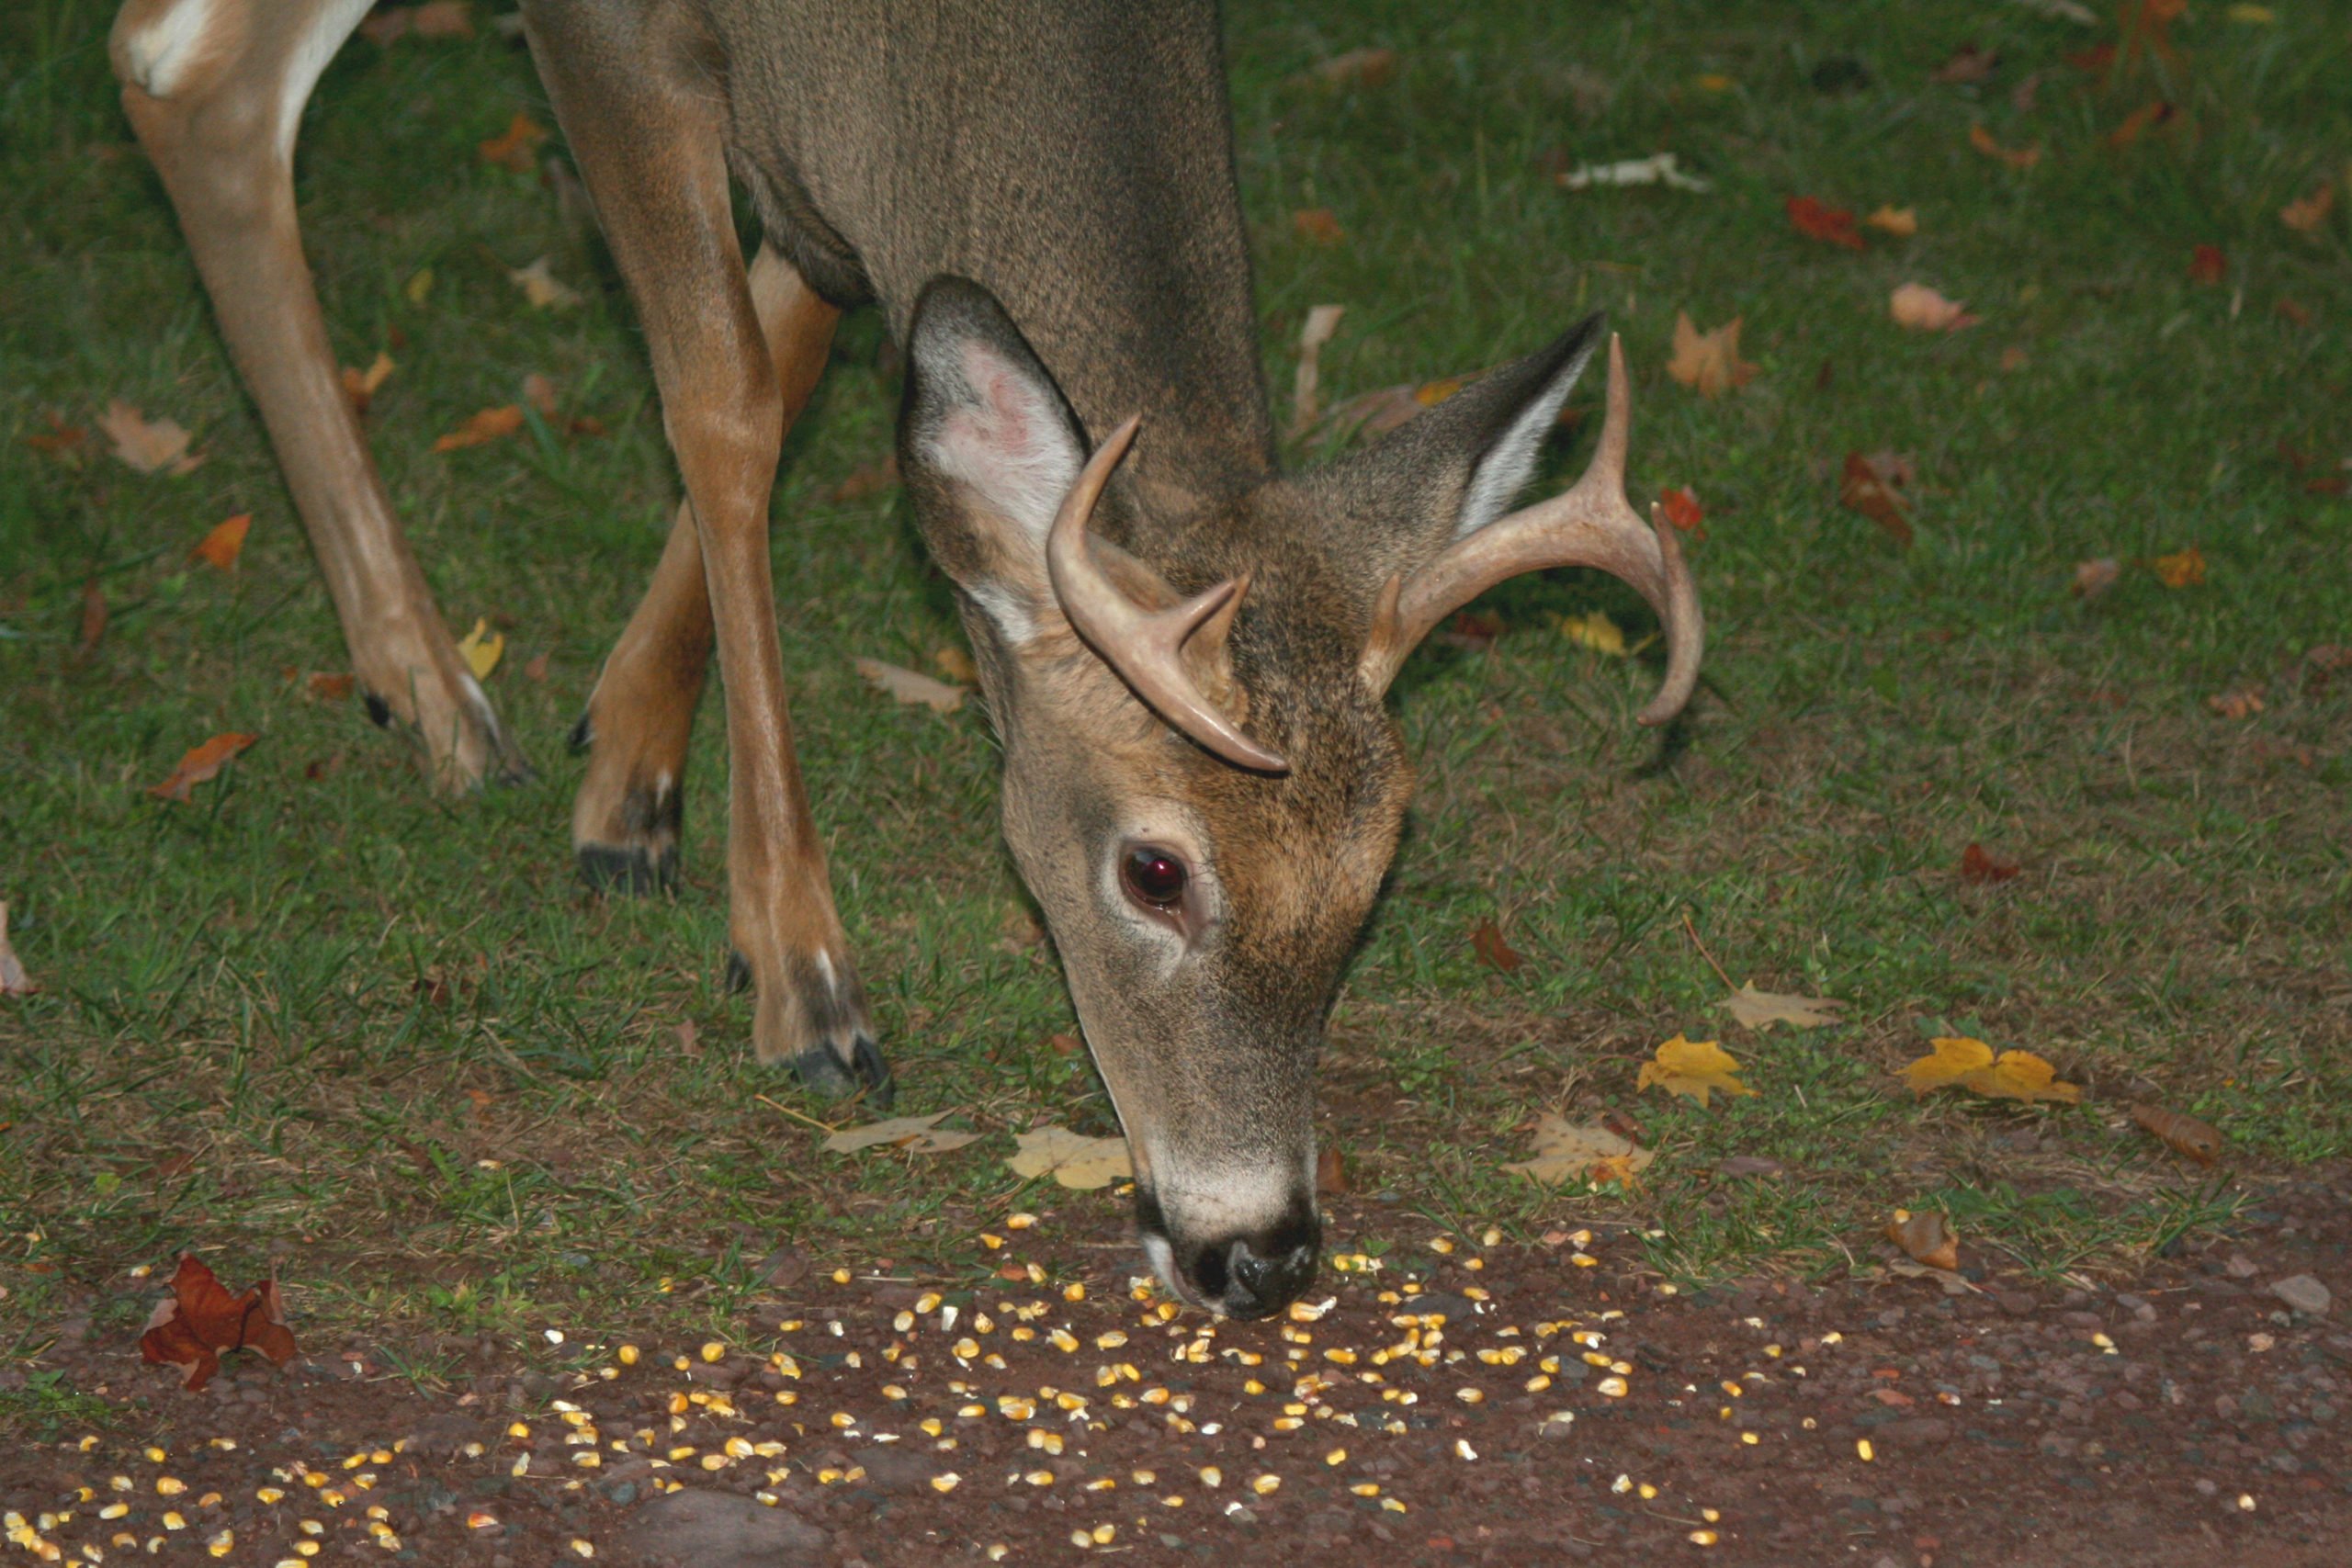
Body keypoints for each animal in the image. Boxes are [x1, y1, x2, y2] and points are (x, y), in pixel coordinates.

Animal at [110, 0, 1702, 1325]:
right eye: (1156, 869)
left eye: (1377, 873)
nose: (1259, 1254)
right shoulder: (611, 31)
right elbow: (728, 401)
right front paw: (800, 975)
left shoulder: (825, 169)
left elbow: (801, 337)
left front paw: (628, 776)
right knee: (191, 67)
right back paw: (439, 695)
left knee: (197, 74)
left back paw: (441, 695)